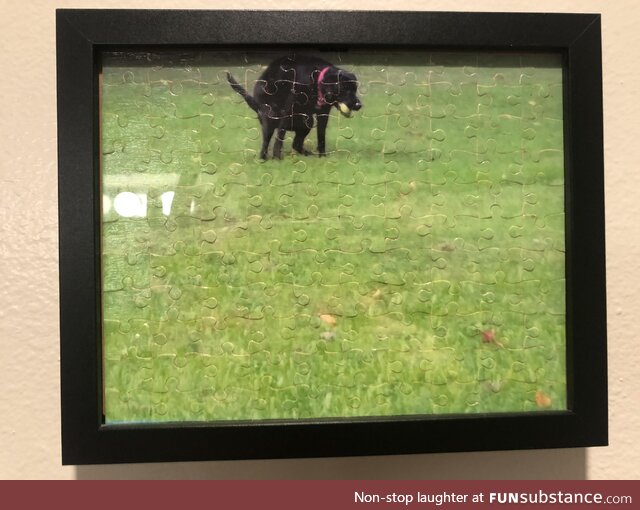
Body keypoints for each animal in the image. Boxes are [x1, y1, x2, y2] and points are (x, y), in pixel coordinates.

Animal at [228, 54, 362, 158]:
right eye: (345, 89)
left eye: (355, 89)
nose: (359, 105)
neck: (315, 81)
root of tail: (256, 104)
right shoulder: (289, 109)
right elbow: (280, 136)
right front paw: (277, 158)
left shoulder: (323, 114)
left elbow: (321, 137)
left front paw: (322, 157)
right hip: (270, 117)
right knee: (266, 142)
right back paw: (264, 158)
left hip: (307, 122)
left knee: (296, 144)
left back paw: (306, 154)